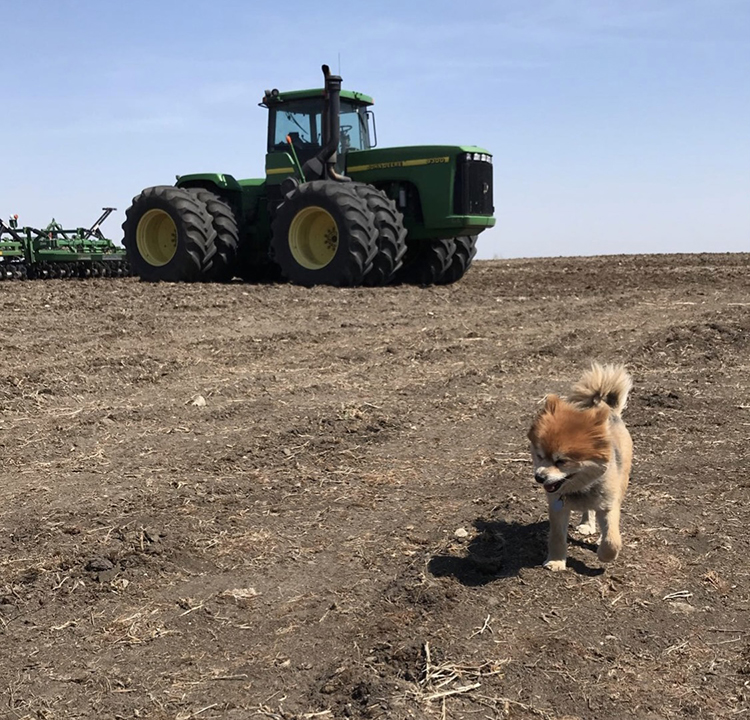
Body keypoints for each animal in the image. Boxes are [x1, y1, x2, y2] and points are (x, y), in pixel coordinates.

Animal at [528, 362, 636, 572]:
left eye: (561, 461)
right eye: (539, 456)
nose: (539, 477)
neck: (580, 489)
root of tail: (609, 410)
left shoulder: (608, 505)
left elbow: (612, 539)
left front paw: (604, 554)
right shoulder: (557, 508)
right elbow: (557, 537)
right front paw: (556, 561)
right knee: (588, 510)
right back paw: (587, 523)